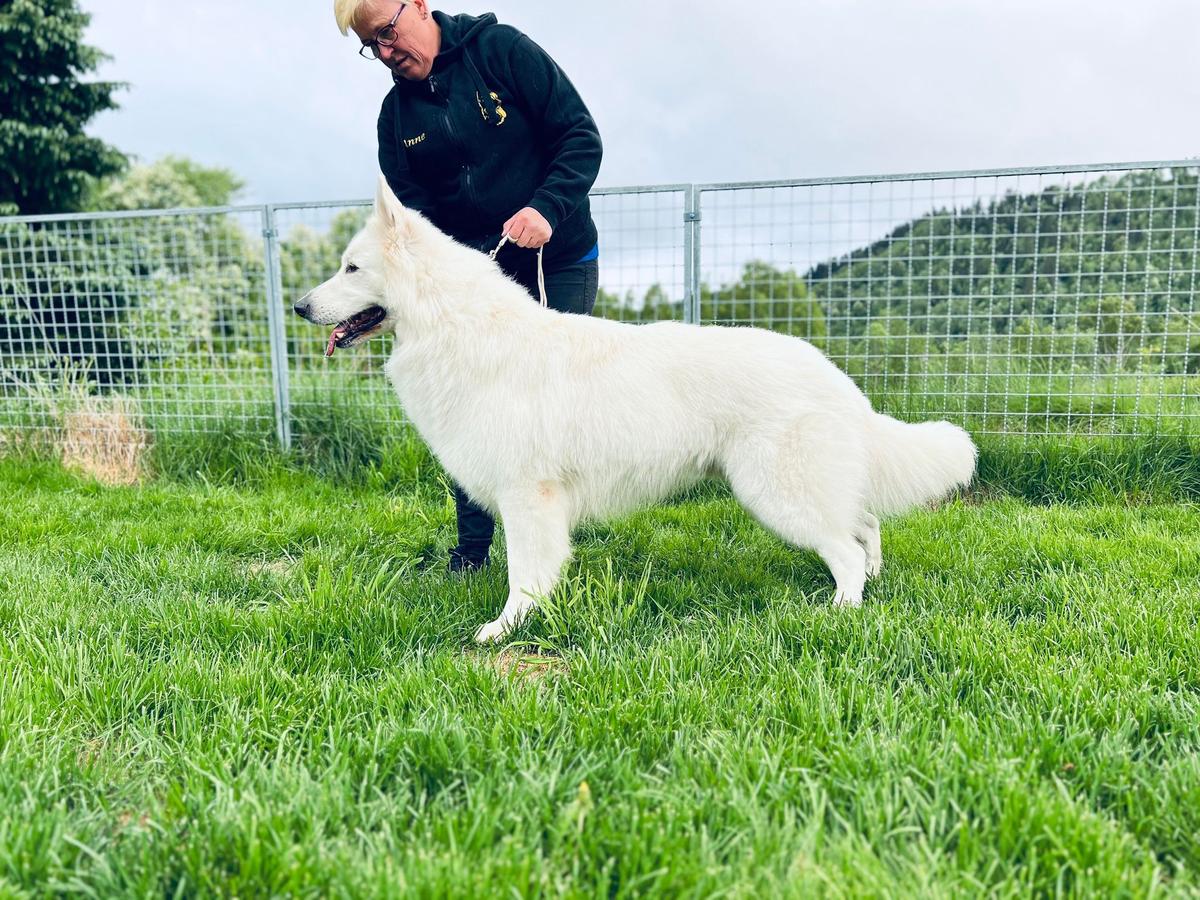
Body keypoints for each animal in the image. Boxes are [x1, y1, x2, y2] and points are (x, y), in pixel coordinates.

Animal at [295, 177, 979, 643]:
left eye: (351, 268)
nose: (300, 307)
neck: (457, 328)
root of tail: (836, 378)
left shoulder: (527, 497)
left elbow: (523, 575)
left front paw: (505, 628)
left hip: (777, 493)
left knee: (846, 550)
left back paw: (841, 612)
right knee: (866, 527)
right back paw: (874, 581)